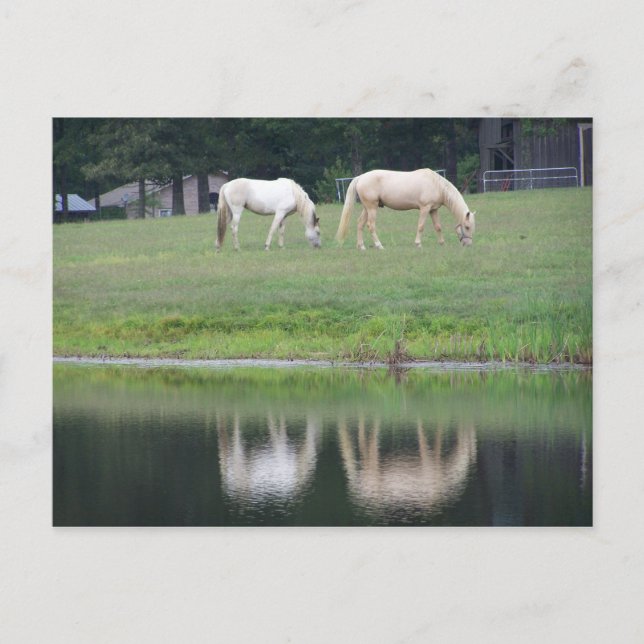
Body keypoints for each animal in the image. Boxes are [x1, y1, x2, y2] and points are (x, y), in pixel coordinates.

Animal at [335, 168, 476, 250]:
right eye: (467, 227)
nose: (468, 244)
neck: (436, 184)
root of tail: (360, 177)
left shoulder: (433, 210)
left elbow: (438, 227)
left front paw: (442, 244)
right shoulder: (425, 208)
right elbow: (421, 226)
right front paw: (418, 244)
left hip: (367, 208)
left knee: (360, 224)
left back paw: (361, 246)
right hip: (372, 208)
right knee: (371, 225)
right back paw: (379, 245)